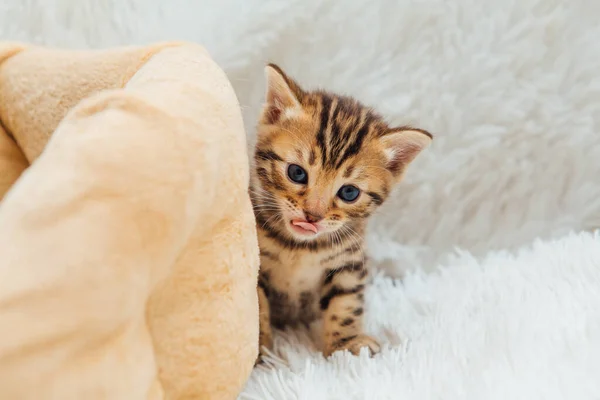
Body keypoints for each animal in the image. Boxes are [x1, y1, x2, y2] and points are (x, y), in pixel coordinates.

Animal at [248, 64, 432, 360]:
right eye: (296, 173)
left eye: (349, 193)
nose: (313, 215)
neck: (300, 248)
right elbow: (255, 307)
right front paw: (258, 351)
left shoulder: (349, 263)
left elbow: (346, 304)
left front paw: (346, 345)